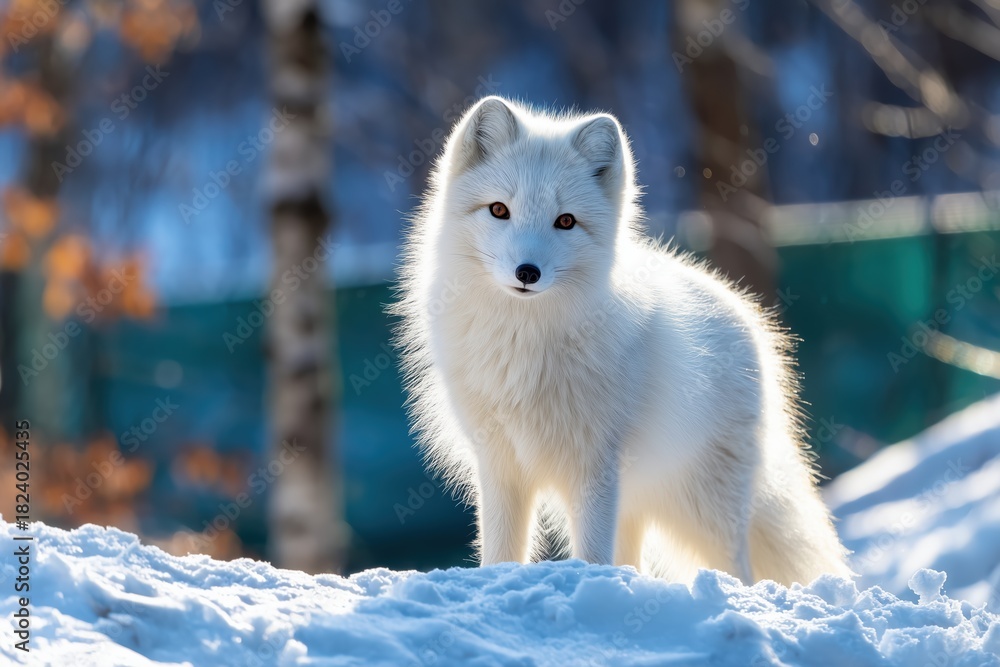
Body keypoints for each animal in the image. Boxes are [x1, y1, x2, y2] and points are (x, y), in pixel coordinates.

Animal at [393, 96, 852, 586]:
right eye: (499, 210)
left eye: (566, 221)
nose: (527, 273)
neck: (525, 342)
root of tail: (746, 314)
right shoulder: (500, 463)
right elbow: (501, 554)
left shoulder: (596, 465)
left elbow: (594, 555)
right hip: (637, 505)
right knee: (633, 560)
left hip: (705, 508)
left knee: (737, 568)